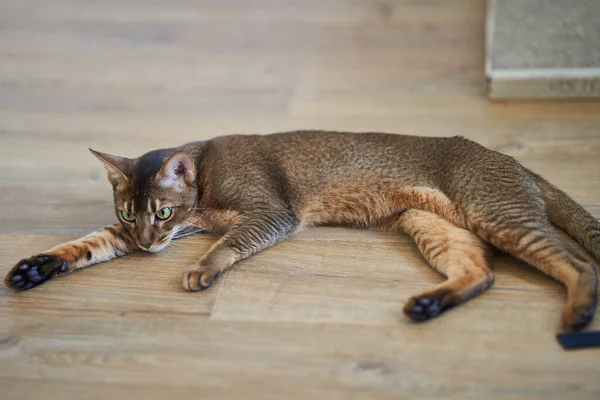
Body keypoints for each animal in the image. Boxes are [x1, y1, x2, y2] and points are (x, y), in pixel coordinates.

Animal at [4, 131, 600, 332]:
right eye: (131, 215)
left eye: (163, 214)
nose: (150, 244)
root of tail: (515, 162)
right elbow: (87, 244)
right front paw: (36, 266)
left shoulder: (271, 213)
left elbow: (230, 241)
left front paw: (201, 268)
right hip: (432, 223)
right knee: (480, 272)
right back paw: (430, 303)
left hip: (496, 213)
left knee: (581, 262)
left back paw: (578, 312)